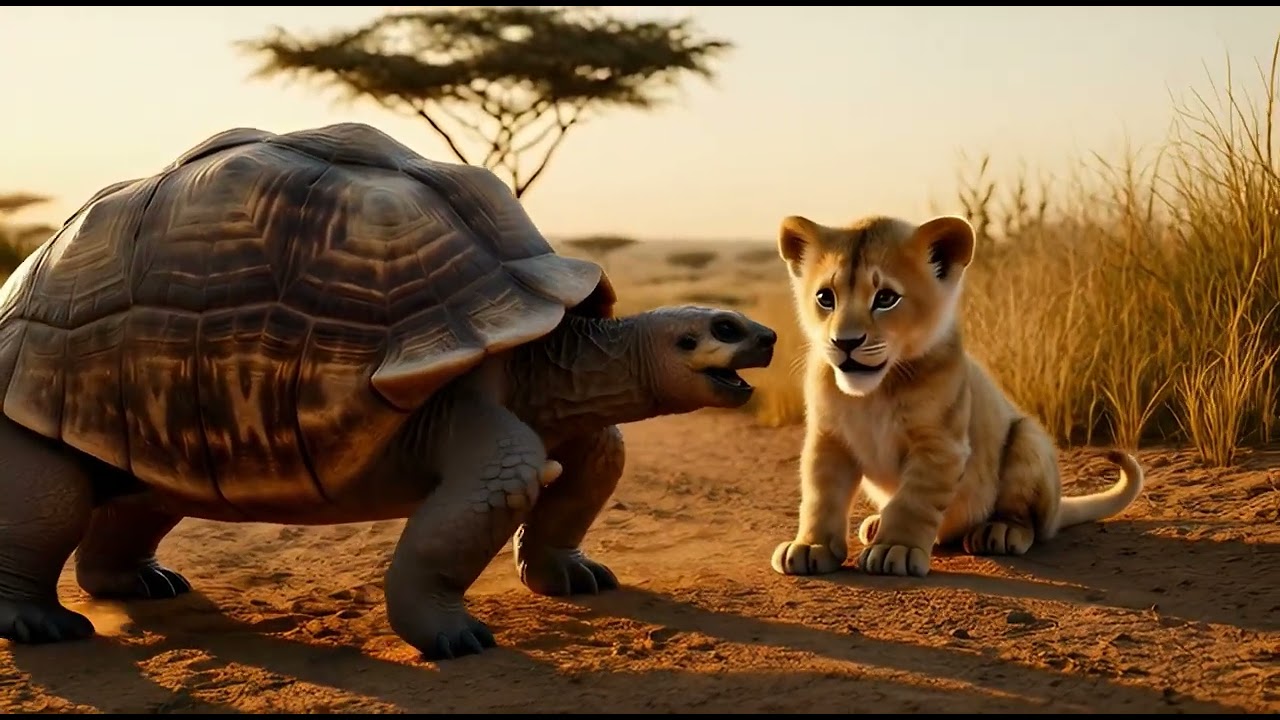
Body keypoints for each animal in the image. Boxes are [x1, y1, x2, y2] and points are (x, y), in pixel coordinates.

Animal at [768, 213, 1145, 578]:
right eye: (825, 298)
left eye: (886, 298)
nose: (845, 342)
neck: (873, 394)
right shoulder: (828, 439)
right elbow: (821, 497)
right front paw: (810, 548)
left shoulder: (941, 445)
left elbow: (913, 501)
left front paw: (896, 549)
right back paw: (874, 525)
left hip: (1028, 439)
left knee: (1029, 523)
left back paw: (998, 531)